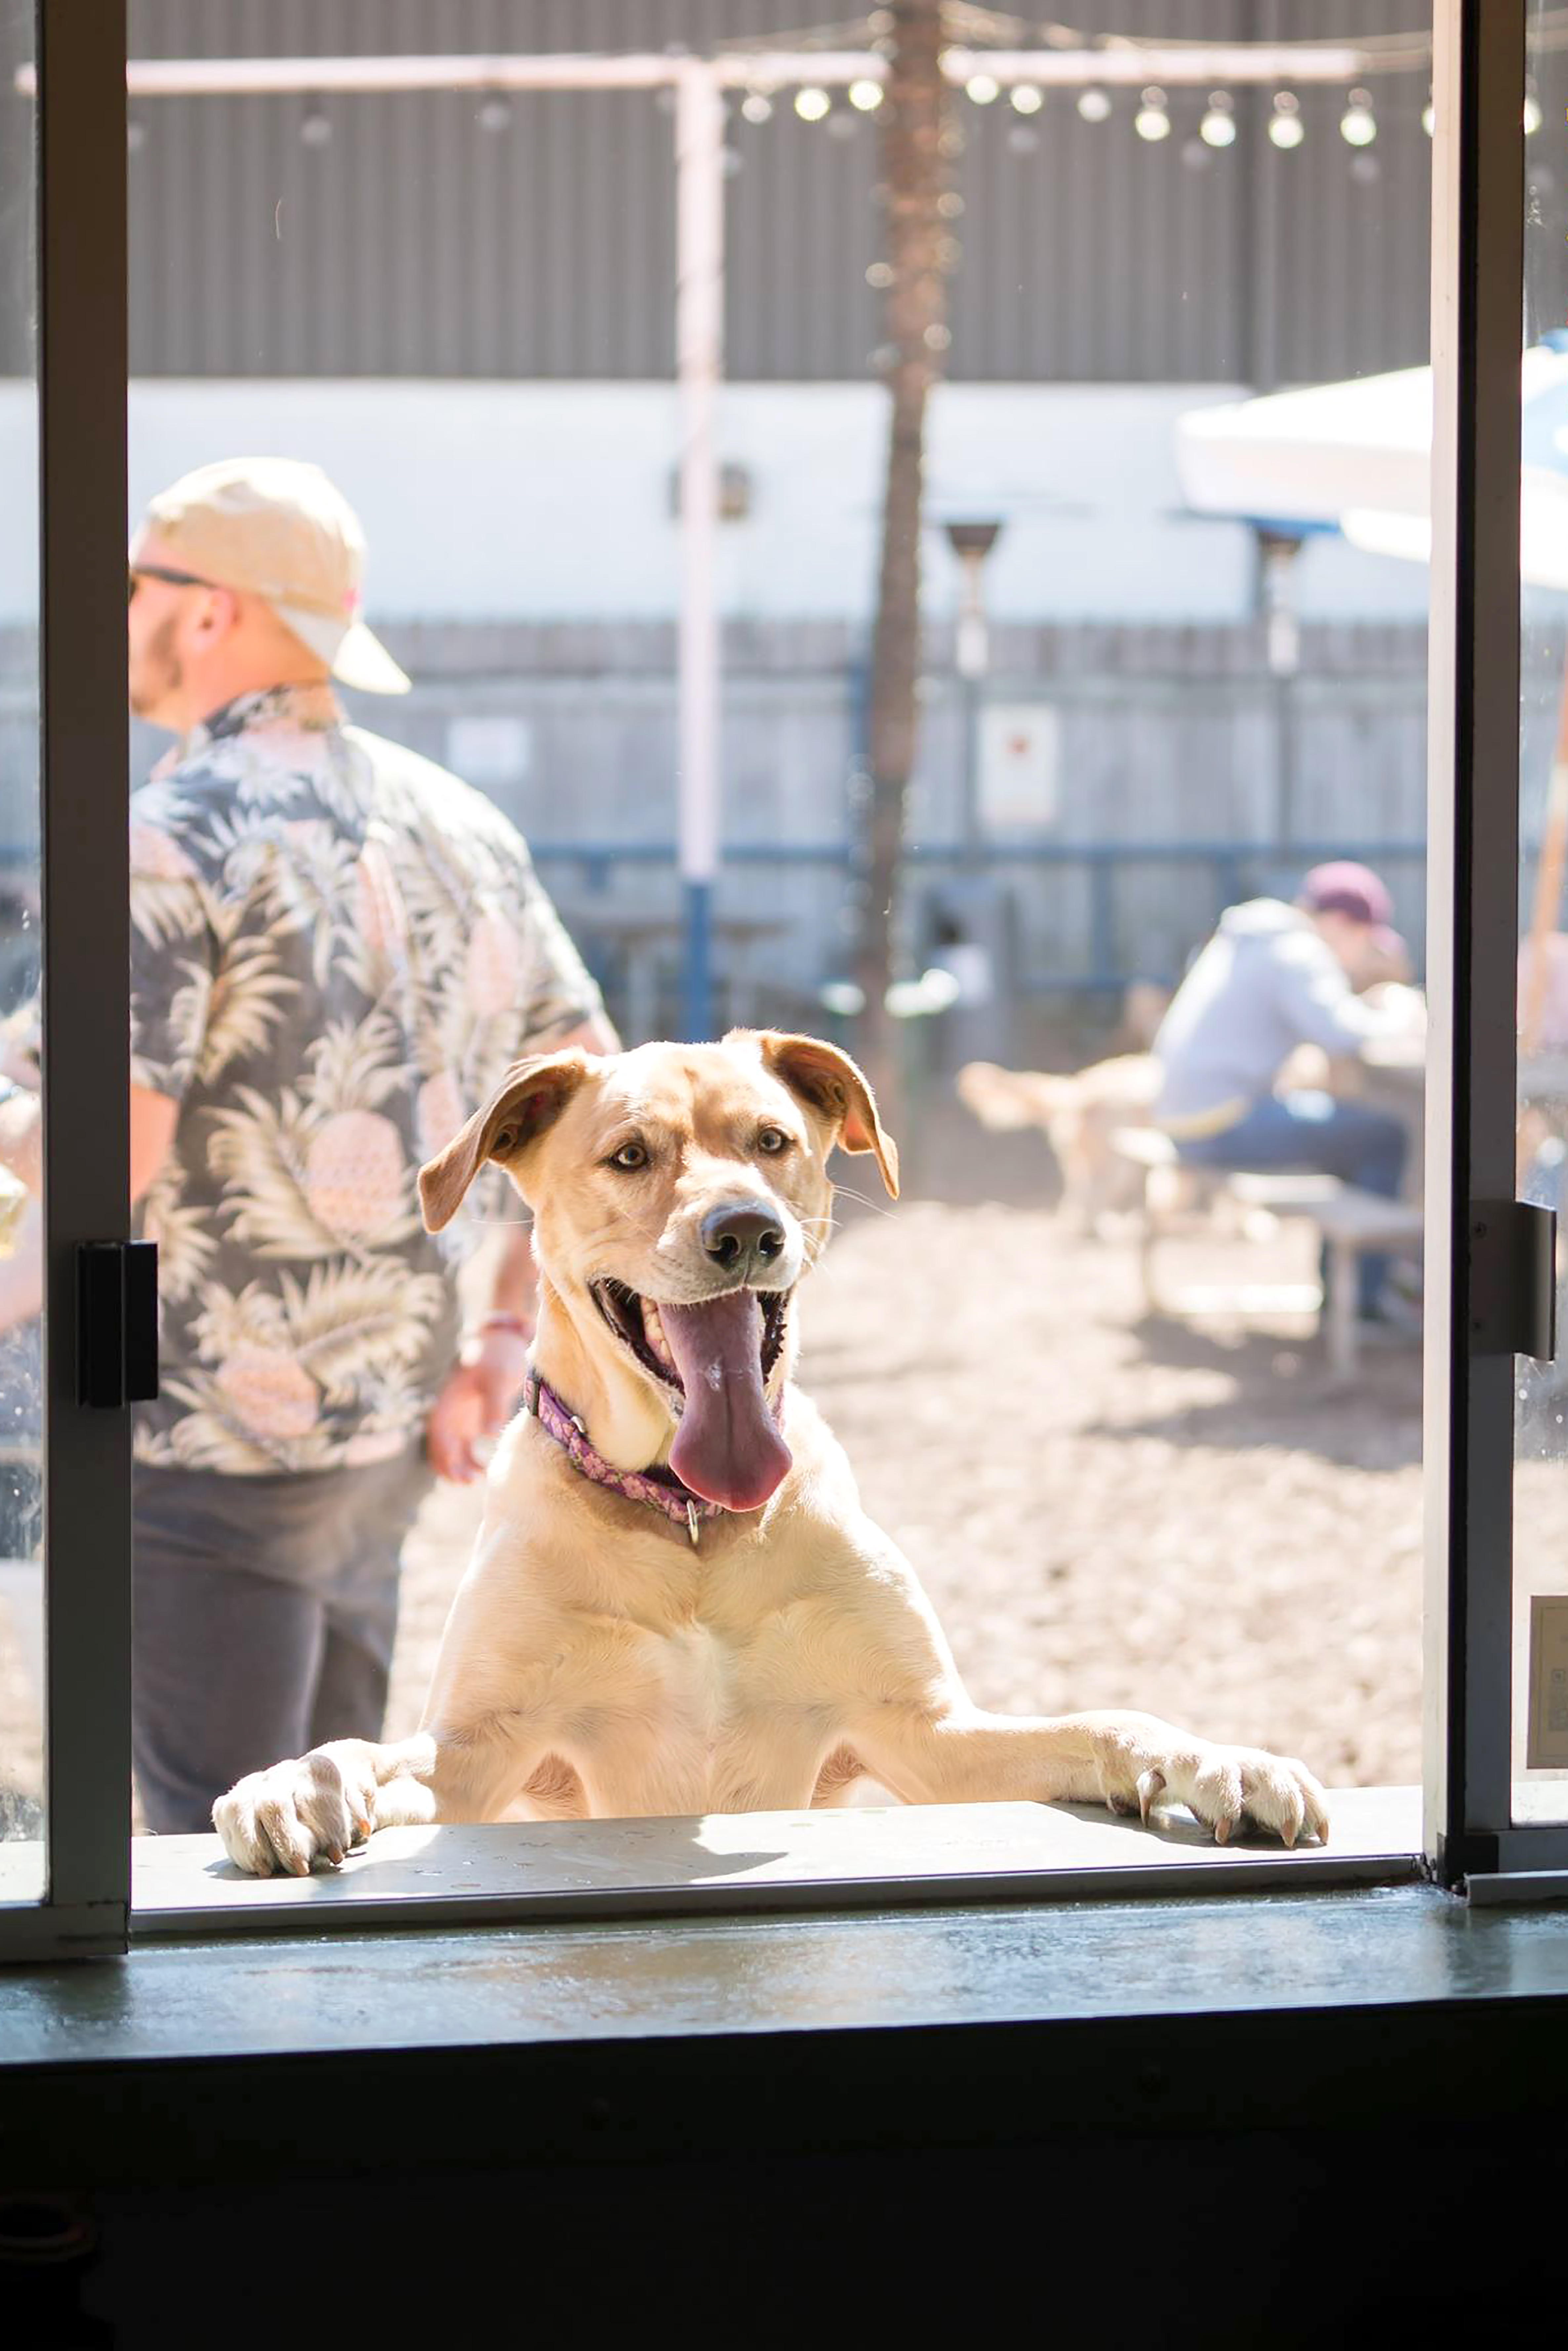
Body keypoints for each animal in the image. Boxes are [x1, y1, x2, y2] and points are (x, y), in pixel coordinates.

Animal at [217, 1030, 1326, 1871]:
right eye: (630, 1155)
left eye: (772, 1139)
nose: (746, 1229)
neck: (692, 1522)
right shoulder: (484, 1753)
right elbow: (368, 1750)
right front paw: (293, 1781)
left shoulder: (925, 1733)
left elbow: (1100, 1717)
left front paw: (1221, 1759)